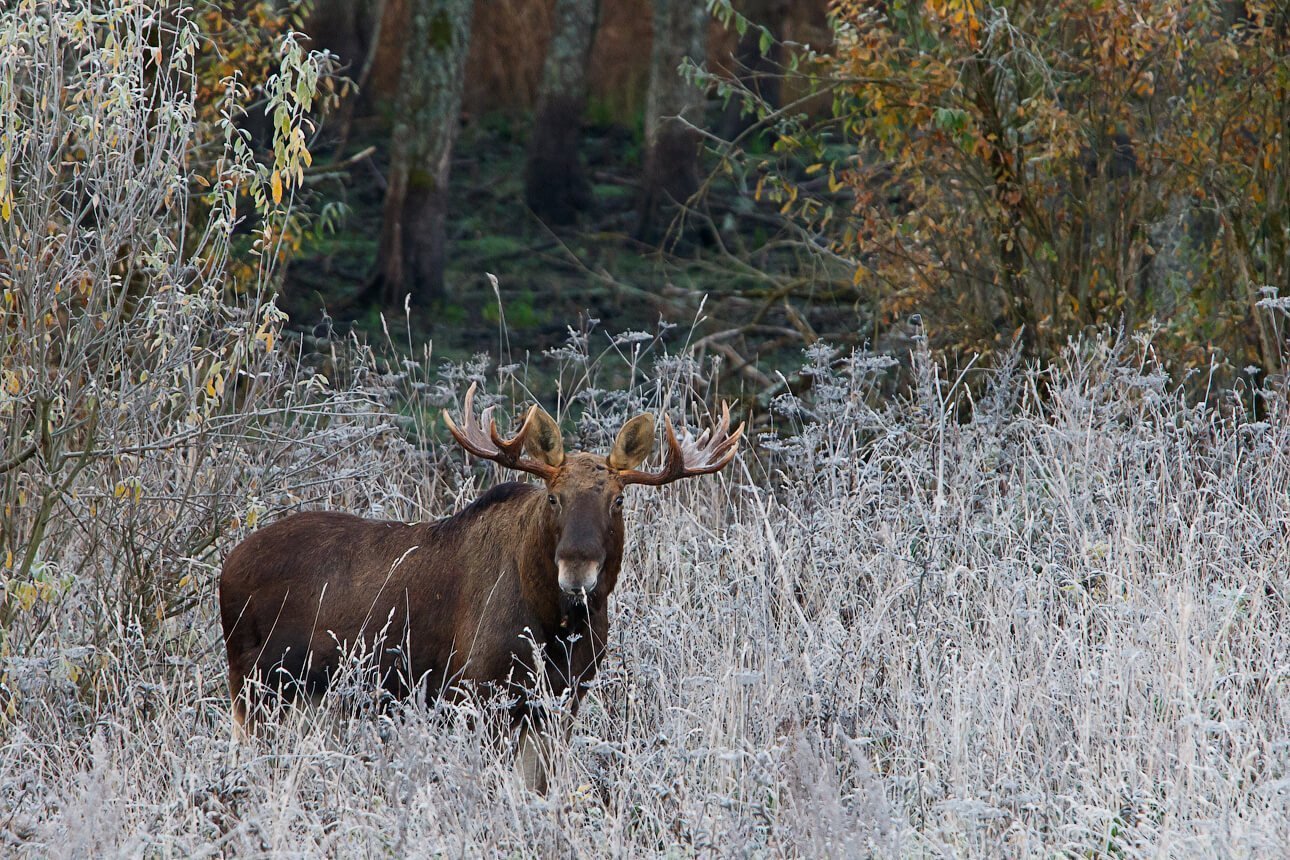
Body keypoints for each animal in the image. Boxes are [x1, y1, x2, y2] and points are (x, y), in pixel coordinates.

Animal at [218, 386, 743, 789]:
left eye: (617, 500)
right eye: (554, 497)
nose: (577, 573)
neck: (555, 625)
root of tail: (227, 565)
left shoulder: (563, 701)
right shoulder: (480, 692)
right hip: (255, 683)